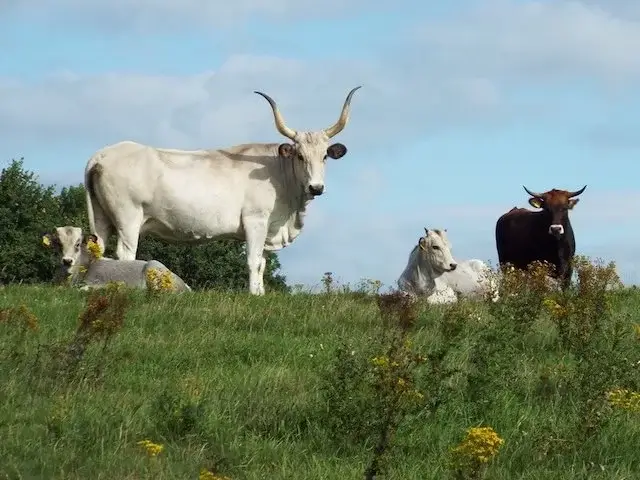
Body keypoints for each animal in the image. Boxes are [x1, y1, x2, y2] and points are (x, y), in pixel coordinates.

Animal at [83, 87, 361, 295]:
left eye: (325, 156)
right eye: (300, 156)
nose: (316, 187)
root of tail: (102, 155)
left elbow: (262, 263)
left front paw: (261, 294)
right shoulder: (255, 221)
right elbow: (253, 261)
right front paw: (253, 294)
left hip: (102, 217)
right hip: (128, 217)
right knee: (125, 253)